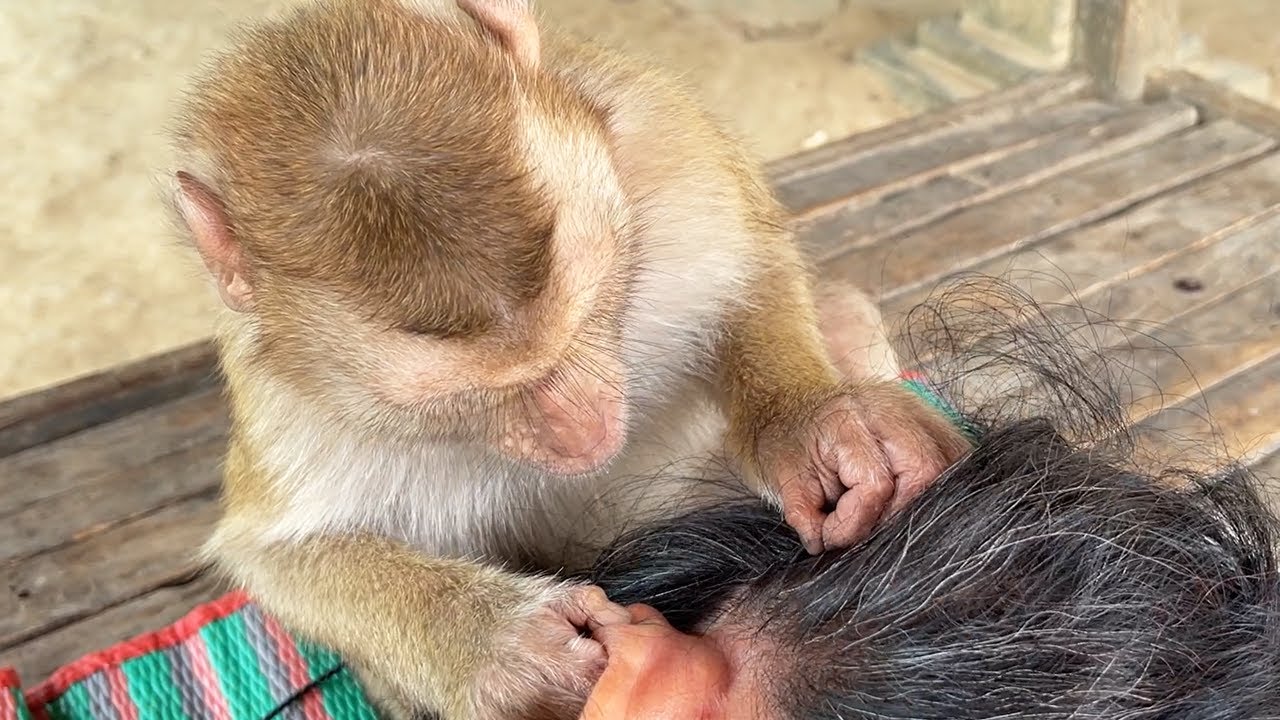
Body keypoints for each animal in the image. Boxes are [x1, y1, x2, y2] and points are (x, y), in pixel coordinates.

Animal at [165, 0, 970, 718]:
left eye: (583, 319)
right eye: (470, 395)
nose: (584, 430)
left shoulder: (661, 131)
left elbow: (750, 274)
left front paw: (812, 428)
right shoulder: (285, 396)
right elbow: (278, 555)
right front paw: (503, 644)